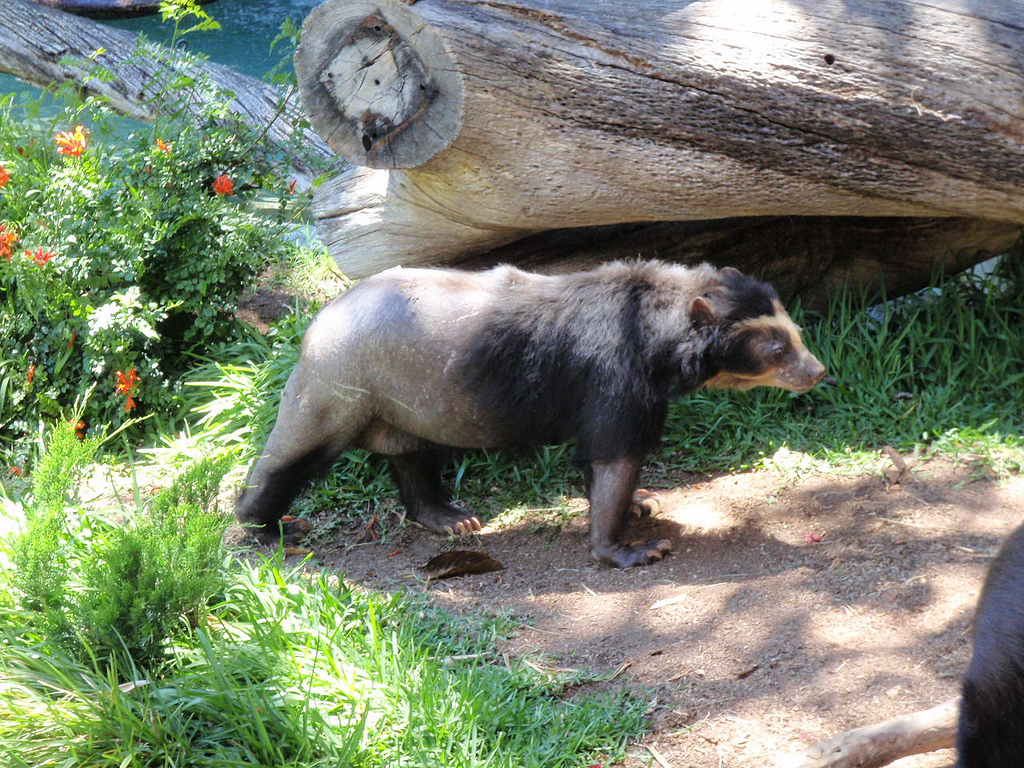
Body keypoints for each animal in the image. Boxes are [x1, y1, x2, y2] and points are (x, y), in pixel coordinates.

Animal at [237, 262, 823, 569]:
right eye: (774, 348)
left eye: (794, 331)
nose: (817, 372)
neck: (656, 329)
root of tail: (316, 322)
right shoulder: (615, 376)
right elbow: (613, 454)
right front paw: (630, 549)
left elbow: (602, 465)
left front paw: (642, 503)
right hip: (338, 385)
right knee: (293, 452)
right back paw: (265, 529)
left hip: (406, 399)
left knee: (413, 456)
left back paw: (452, 519)